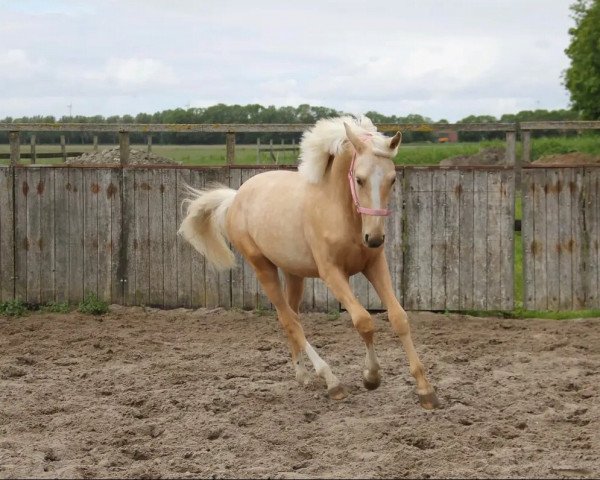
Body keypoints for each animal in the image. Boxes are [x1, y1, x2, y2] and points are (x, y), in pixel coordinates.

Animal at [180, 115, 438, 408]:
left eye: (392, 179)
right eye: (359, 179)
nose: (374, 238)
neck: (339, 210)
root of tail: (235, 197)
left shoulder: (374, 266)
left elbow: (399, 318)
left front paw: (425, 390)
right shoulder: (332, 273)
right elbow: (363, 321)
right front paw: (371, 376)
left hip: (294, 274)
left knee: (292, 317)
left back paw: (302, 376)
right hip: (263, 268)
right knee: (289, 320)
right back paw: (331, 381)